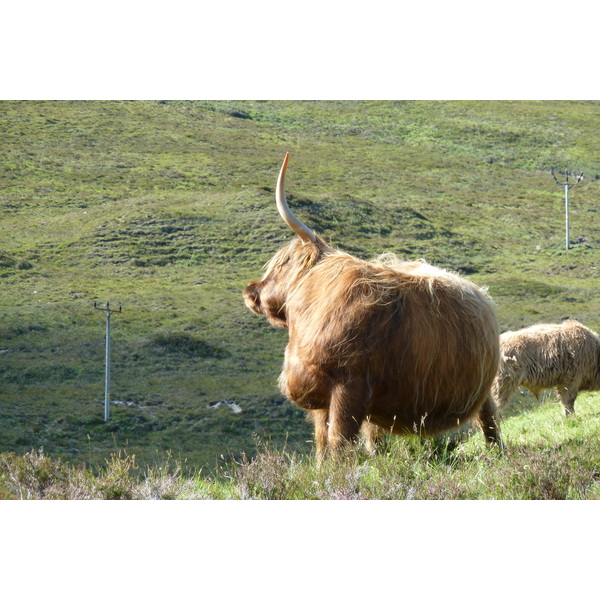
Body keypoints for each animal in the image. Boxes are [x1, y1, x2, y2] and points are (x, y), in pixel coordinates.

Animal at [243, 155, 502, 460]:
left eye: (281, 264)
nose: (250, 291)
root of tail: (482, 296)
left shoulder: (349, 386)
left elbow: (339, 440)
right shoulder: (321, 396)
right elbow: (321, 441)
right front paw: (321, 469)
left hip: (482, 391)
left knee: (490, 420)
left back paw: (497, 454)